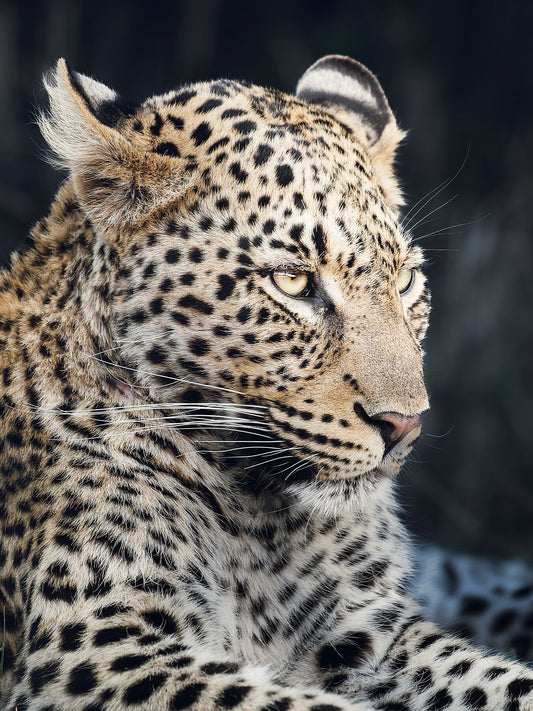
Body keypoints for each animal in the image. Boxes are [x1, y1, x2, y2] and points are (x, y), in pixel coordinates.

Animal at [1, 53, 533, 711]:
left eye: (406, 280)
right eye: (292, 281)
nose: (404, 424)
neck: (261, 524)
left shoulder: (371, 632)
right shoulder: (95, 650)